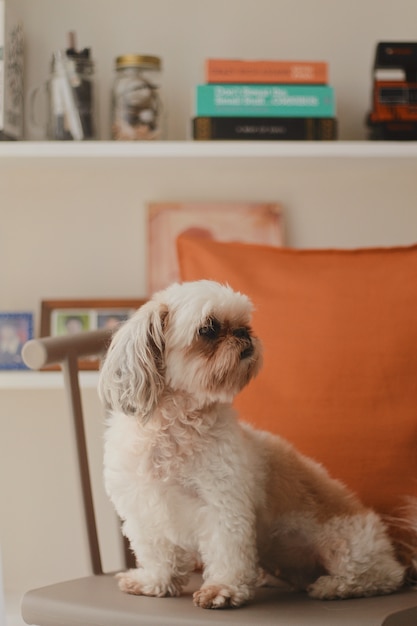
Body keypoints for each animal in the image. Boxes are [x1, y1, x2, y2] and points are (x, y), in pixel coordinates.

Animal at [97, 280, 412, 608]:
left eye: (244, 322)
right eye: (208, 328)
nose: (244, 333)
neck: (176, 425)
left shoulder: (223, 504)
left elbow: (227, 552)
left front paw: (223, 589)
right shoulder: (144, 507)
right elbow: (157, 554)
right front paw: (154, 583)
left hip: (347, 546)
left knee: (380, 575)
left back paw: (334, 586)